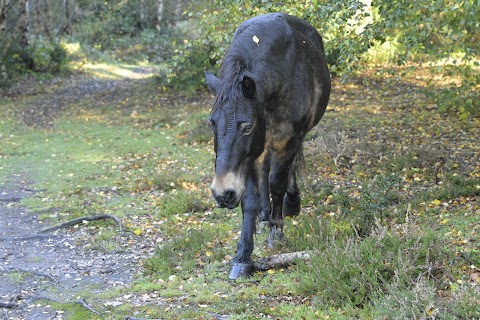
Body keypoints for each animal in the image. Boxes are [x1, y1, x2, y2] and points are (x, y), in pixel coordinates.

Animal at [206, 12, 330, 278]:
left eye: (247, 127)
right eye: (211, 123)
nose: (222, 194)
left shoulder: (288, 139)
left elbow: (277, 184)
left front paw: (277, 230)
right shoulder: (253, 153)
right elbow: (251, 199)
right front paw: (243, 256)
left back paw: (289, 205)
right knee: (264, 173)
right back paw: (264, 218)